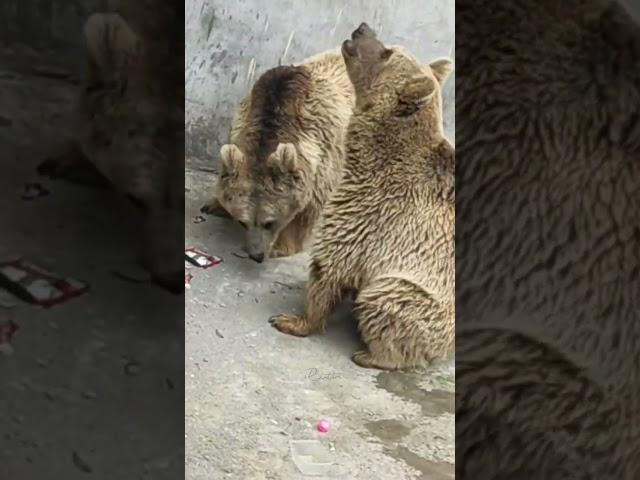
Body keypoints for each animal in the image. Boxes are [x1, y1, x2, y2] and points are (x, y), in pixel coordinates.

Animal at [200, 47, 356, 262]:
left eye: (269, 222)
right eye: (242, 222)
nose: (256, 254)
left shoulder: (324, 152)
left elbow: (308, 208)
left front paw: (281, 246)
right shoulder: (244, 117)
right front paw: (215, 204)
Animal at [268, 23, 456, 372]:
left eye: (387, 53)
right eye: (392, 45)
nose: (361, 29)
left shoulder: (373, 211)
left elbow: (330, 265)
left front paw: (293, 320)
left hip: (416, 297)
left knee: (385, 302)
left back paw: (371, 355)